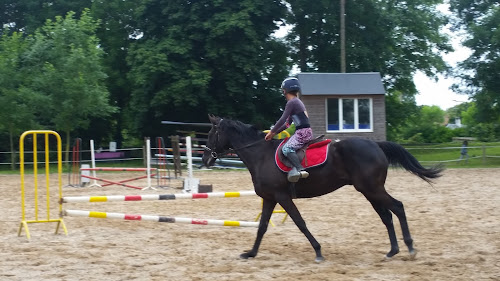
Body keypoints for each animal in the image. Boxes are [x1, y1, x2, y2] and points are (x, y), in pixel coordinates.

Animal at [201, 115, 444, 262]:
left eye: (211, 134)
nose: (204, 158)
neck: (261, 155)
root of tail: (375, 144)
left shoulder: (282, 197)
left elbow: (300, 223)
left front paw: (318, 251)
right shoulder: (270, 198)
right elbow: (262, 227)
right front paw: (251, 253)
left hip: (372, 189)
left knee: (398, 207)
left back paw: (409, 248)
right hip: (368, 191)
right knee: (386, 215)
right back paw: (392, 251)